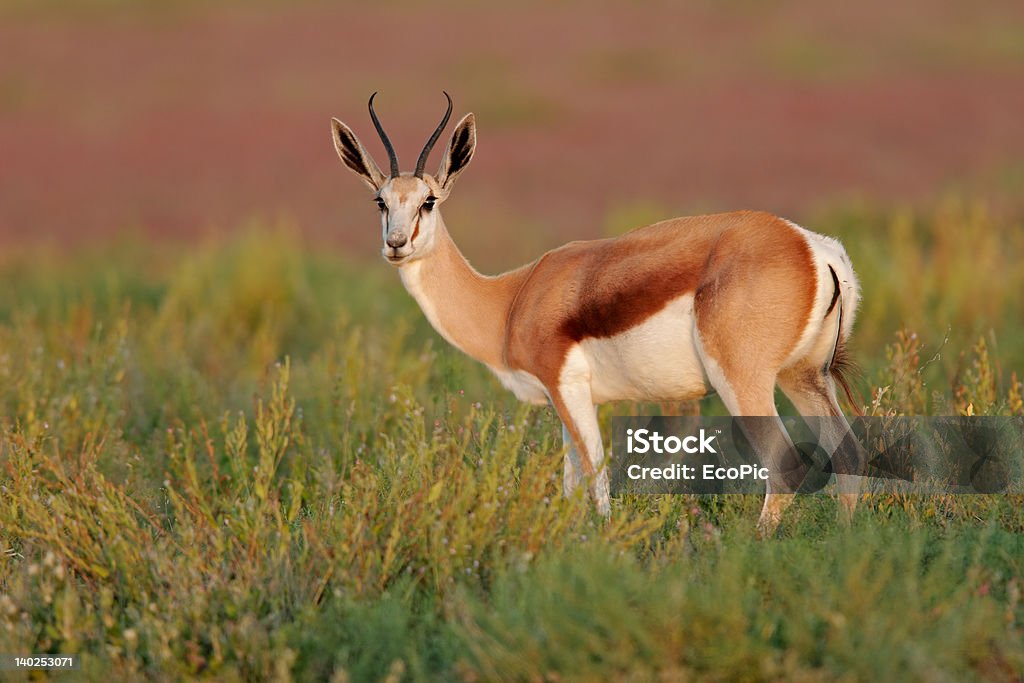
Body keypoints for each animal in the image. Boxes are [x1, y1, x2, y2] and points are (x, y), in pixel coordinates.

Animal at [331, 92, 860, 532]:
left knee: (785, 463)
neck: (511, 299)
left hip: (742, 381)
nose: (396, 244)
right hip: (804, 377)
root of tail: (814, 248)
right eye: (381, 201)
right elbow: (571, 488)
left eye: (429, 200)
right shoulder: (563, 401)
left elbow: (597, 483)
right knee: (849, 455)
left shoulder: (568, 389)